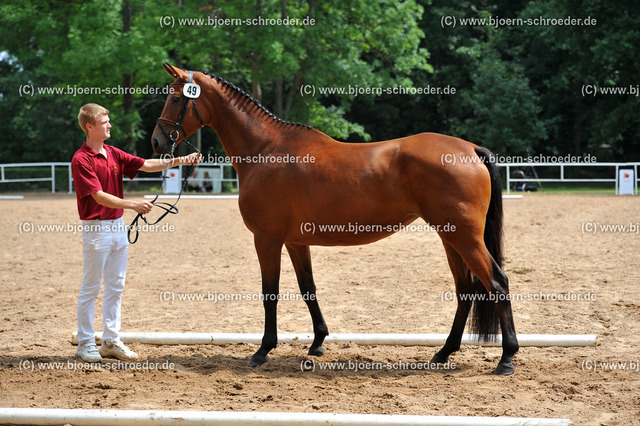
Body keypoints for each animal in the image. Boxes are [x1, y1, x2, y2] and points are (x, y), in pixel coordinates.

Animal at [151, 61, 520, 374]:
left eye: (174, 98)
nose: (156, 142)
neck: (266, 149)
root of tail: (470, 149)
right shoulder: (295, 241)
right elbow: (307, 288)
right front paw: (317, 342)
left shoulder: (267, 238)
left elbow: (270, 292)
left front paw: (263, 350)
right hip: (450, 236)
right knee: (466, 289)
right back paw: (444, 352)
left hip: (464, 238)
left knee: (496, 282)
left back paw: (506, 358)